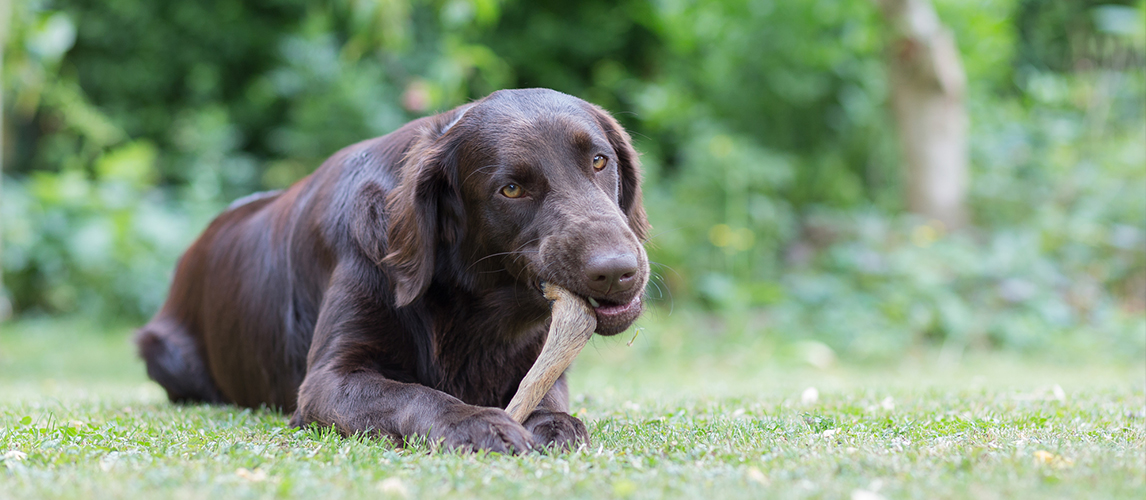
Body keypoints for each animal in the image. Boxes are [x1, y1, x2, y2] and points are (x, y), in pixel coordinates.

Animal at [134, 88, 650, 454]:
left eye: (599, 161)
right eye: (511, 189)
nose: (616, 271)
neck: (472, 306)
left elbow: (548, 395)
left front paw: (555, 425)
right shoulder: (328, 380)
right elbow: (416, 394)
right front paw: (477, 423)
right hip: (164, 352)